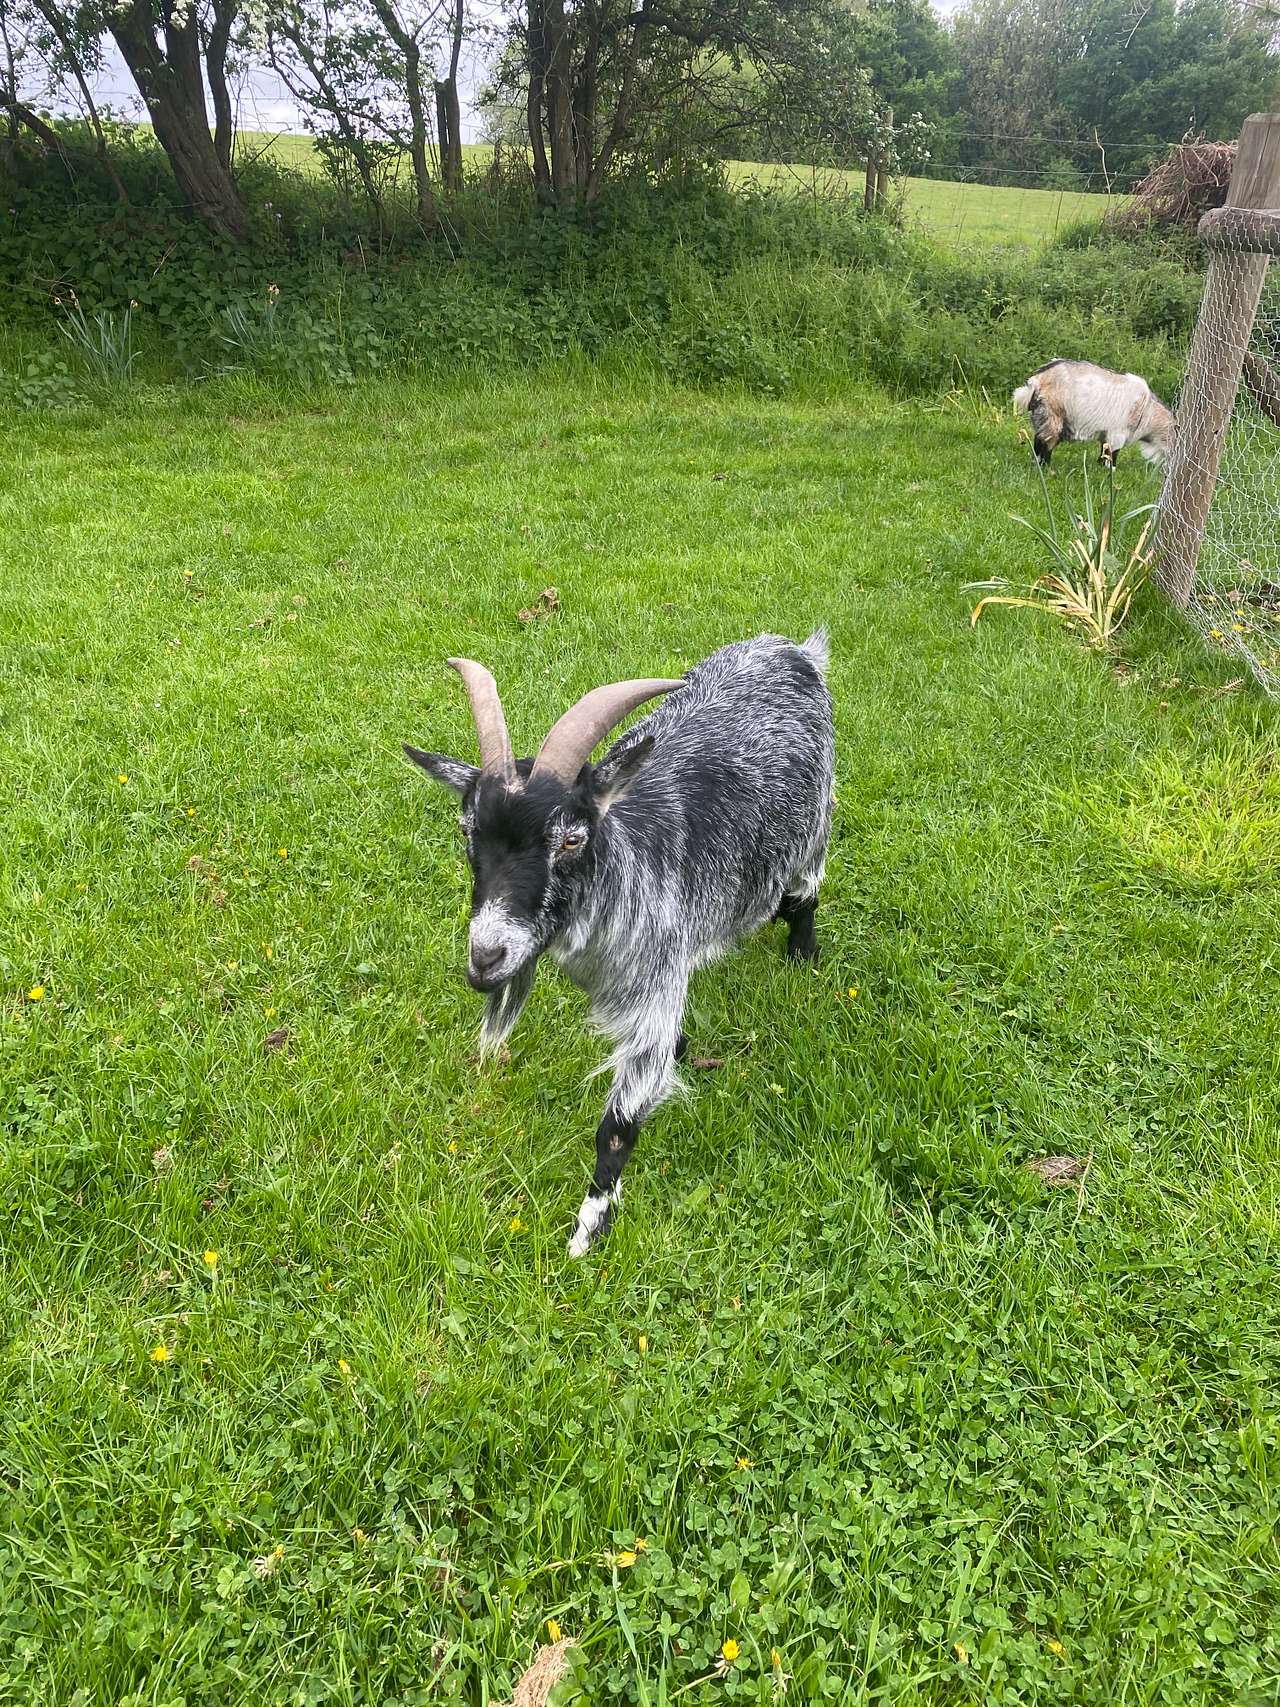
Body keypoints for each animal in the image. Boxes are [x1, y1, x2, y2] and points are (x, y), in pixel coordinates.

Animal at [405, 633, 834, 1256]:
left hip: (813, 828)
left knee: (805, 894)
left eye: (571, 839)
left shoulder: (654, 988)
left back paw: (802, 955)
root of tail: (794, 649)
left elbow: (618, 1127)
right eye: (467, 831)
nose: (486, 961)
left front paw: (589, 1229)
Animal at [1013, 360, 1175, 468]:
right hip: (1054, 416)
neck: (1147, 410)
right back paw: (1044, 467)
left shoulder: (1106, 433)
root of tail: (1036, 381)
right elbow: (1112, 452)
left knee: (1038, 438)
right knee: (1047, 441)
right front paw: (1110, 470)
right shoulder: (1118, 432)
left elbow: (1103, 450)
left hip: (1043, 416)